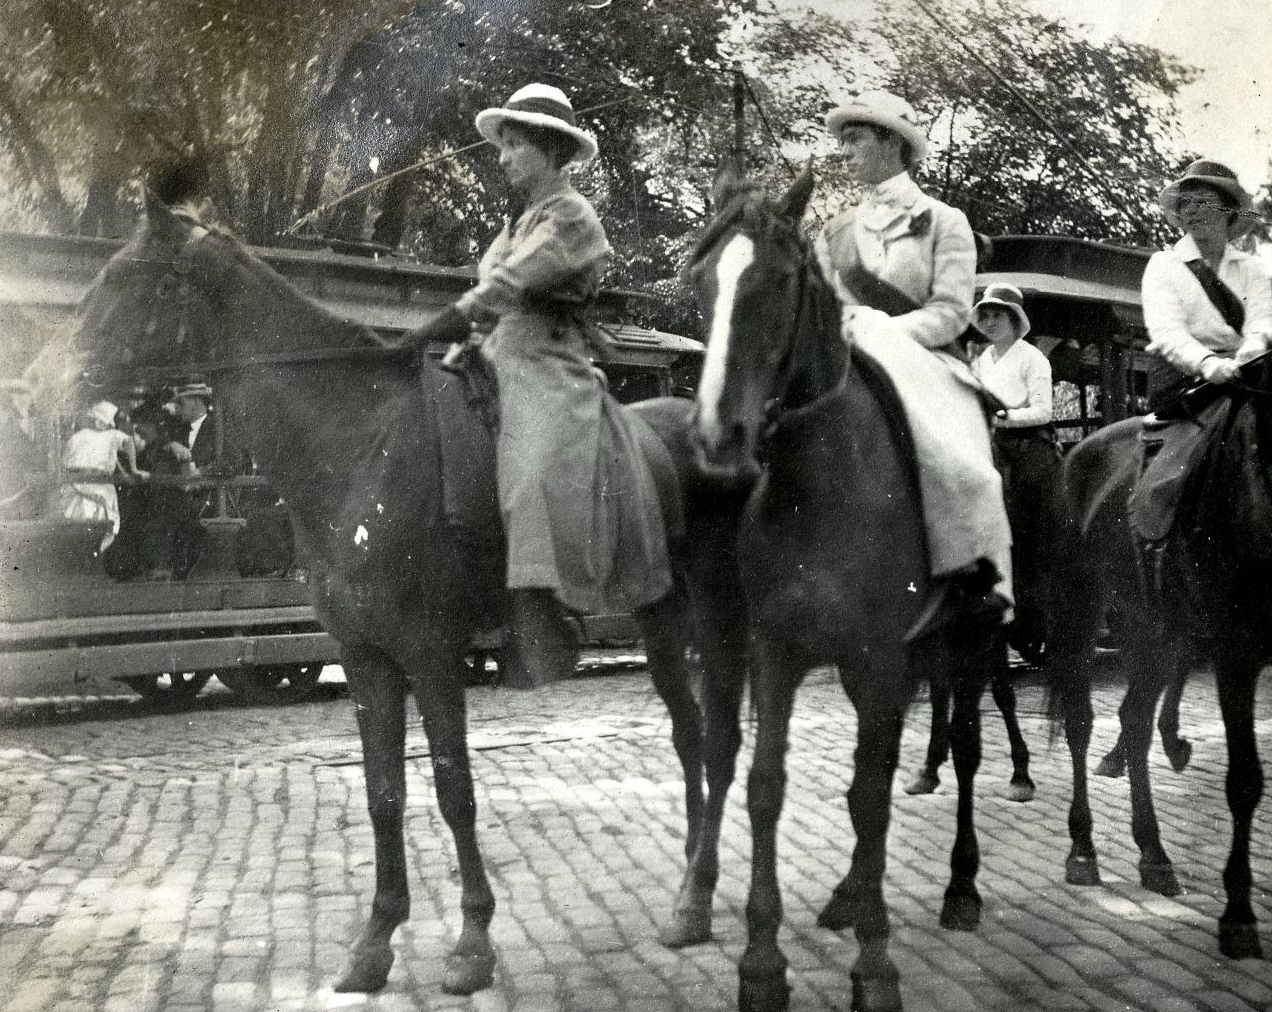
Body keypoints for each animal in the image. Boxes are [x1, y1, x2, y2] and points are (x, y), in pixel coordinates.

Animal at [74, 195, 747, 996]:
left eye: (133, 275)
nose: (59, 369)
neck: (361, 447)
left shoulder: (430, 653)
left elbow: (454, 789)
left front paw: (472, 944)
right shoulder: (366, 657)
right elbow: (383, 792)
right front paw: (374, 942)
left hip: (698, 618)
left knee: (707, 737)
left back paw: (696, 898)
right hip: (663, 620)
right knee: (692, 736)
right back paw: (691, 889)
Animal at [681, 167, 997, 1012]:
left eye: (777, 282)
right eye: (703, 282)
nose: (717, 437)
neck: (820, 481)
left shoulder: (881, 656)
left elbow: (869, 798)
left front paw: (875, 966)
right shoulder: (777, 652)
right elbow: (766, 785)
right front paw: (761, 963)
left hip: (962, 646)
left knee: (962, 751)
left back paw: (959, 890)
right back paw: (850, 894)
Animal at [1043, 358, 1272, 961]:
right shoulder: (1236, 655)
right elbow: (1245, 781)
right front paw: (1238, 916)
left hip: (1152, 627)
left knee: (1135, 720)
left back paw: (1153, 854)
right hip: (1081, 611)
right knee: (1081, 723)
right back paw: (1083, 850)